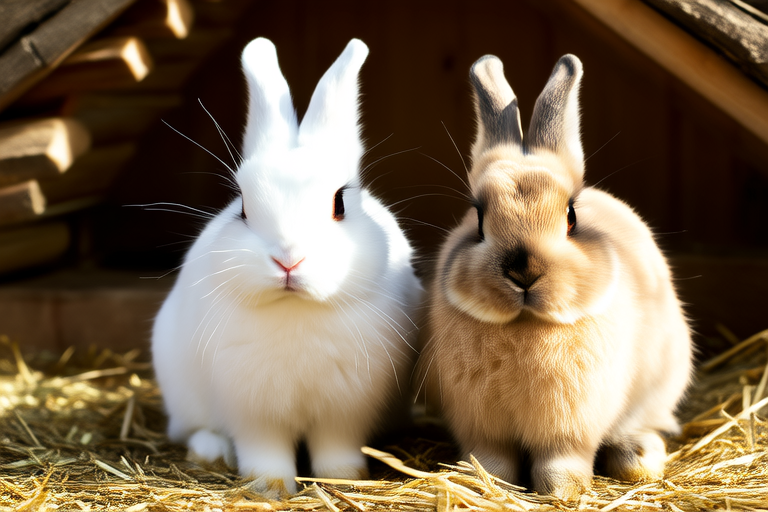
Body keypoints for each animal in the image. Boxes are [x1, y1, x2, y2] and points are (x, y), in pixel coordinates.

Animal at [152, 37, 422, 495]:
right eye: (242, 207)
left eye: (340, 203)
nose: (288, 260)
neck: (295, 309)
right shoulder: (252, 410)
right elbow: (264, 450)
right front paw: (271, 486)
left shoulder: (348, 407)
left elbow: (337, 446)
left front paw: (344, 478)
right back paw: (209, 451)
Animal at [416, 54, 692, 500]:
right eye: (478, 217)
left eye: (571, 216)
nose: (524, 270)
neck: (525, 326)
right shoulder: (482, 426)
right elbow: (493, 462)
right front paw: (486, 483)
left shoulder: (570, 429)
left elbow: (561, 461)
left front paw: (561, 492)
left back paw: (637, 458)